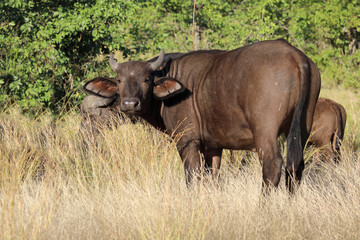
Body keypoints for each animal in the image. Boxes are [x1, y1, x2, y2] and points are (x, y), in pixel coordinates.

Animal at [83, 39, 320, 193]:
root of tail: (294, 54)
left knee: (273, 165)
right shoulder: (213, 147)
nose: (130, 104)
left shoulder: (187, 142)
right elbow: (212, 178)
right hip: (302, 127)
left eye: (146, 79)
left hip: (265, 132)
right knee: (296, 166)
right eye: (119, 80)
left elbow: (192, 178)